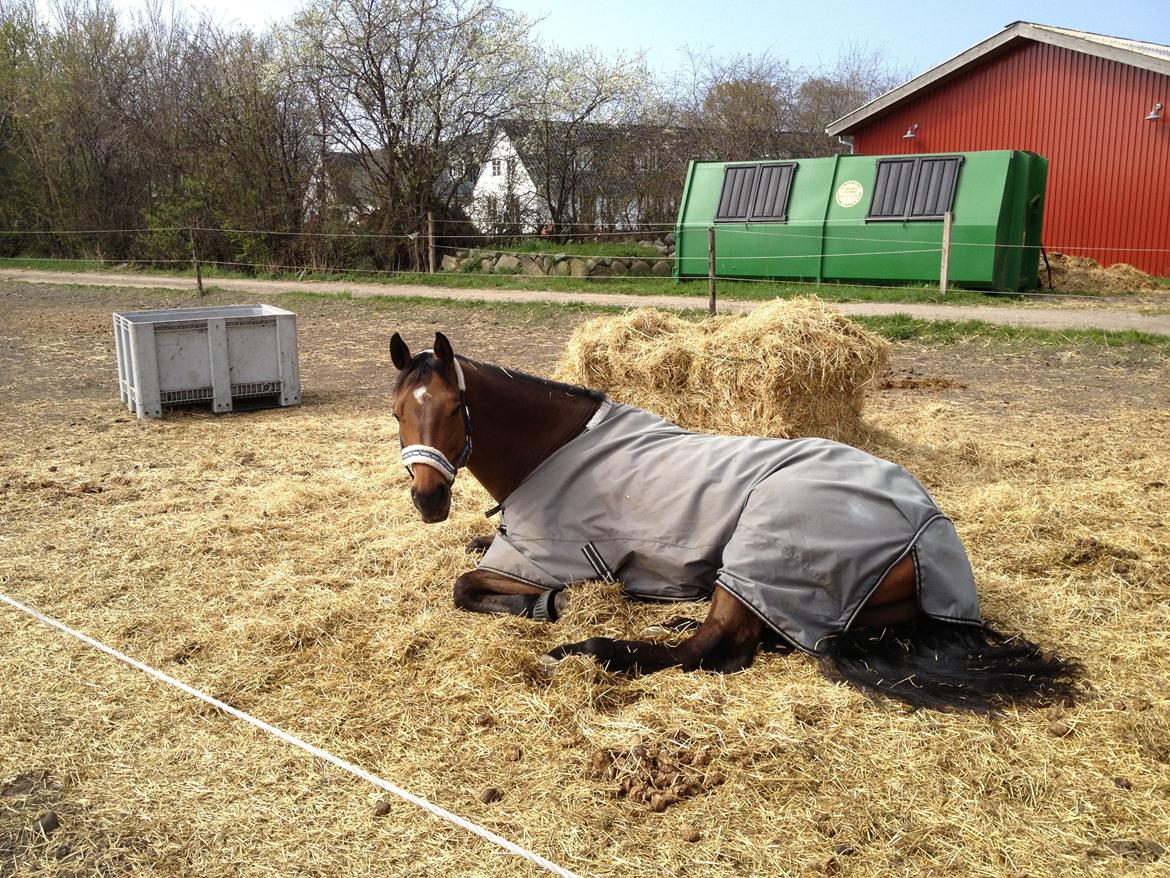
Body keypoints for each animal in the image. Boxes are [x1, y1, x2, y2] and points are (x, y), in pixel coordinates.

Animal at [393, 332, 1076, 711]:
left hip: (758, 557)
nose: (428, 500)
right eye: (398, 410)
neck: (556, 448)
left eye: (453, 409)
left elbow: (466, 586)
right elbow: (474, 550)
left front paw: (548, 607)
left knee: (712, 648)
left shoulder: (540, 558)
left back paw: (587, 649)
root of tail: (929, 526)